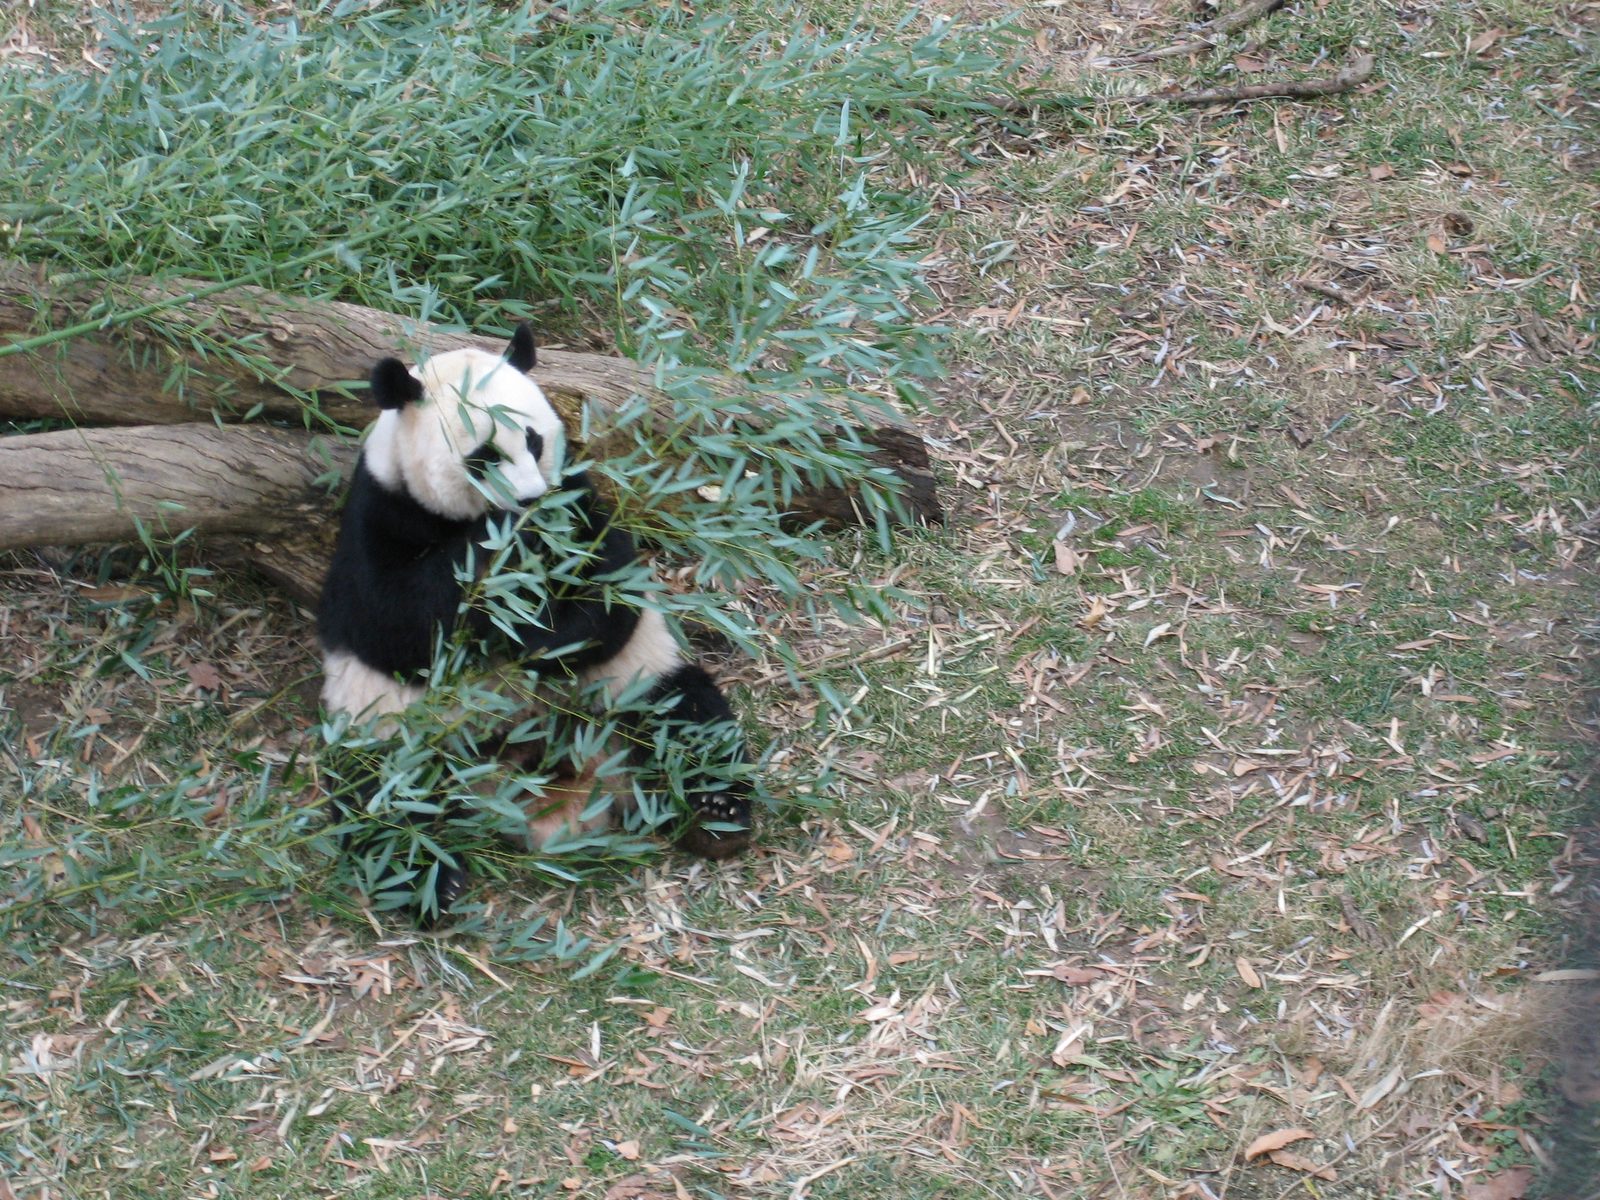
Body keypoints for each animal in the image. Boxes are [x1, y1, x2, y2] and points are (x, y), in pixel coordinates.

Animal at [318, 324, 752, 920]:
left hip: (631, 687)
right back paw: (434, 882)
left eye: (533, 441)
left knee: (688, 718)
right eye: (483, 457)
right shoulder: (378, 516)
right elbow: (398, 624)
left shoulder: (582, 502)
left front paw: (543, 625)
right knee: (384, 800)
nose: (528, 499)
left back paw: (717, 814)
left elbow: (612, 595)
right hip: (393, 731)